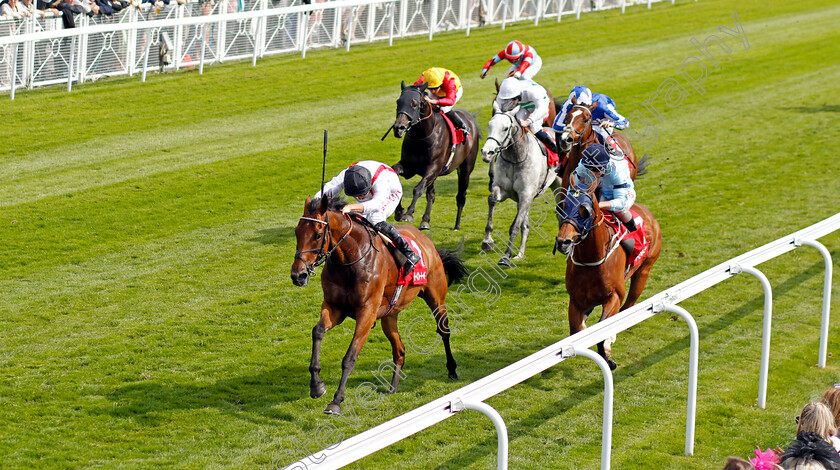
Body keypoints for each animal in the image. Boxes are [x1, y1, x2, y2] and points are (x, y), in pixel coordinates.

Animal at [292, 196, 470, 414]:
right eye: (297, 232)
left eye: (318, 235)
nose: (298, 275)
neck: (351, 260)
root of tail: (427, 241)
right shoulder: (334, 307)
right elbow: (317, 331)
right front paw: (316, 385)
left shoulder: (366, 313)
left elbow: (349, 357)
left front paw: (336, 402)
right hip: (389, 315)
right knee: (399, 350)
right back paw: (393, 387)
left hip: (436, 297)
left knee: (443, 330)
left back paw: (452, 369)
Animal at [388, 83, 476, 233]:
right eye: (398, 102)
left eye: (415, 104)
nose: (398, 128)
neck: (422, 136)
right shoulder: (410, 167)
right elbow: (395, 172)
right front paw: (399, 211)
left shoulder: (433, 168)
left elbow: (418, 189)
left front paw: (408, 213)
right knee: (431, 194)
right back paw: (425, 221)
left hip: (465, 170)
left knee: (461, 196)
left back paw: (457, 225)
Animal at [480, 102, 564, 264]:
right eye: (489, 125)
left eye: (505, 128)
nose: (486, 153)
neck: (516, 157)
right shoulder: (505, 190)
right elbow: (492, 200)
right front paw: (487, 240)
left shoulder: (526, 194)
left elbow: (515, 227)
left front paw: (506, 256)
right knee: (526, 224)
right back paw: (520, 253)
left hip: (560, 186)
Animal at [556, 186, 660, 368]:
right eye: (562, 206)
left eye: (584, 211)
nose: (563, 242)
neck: (591, 260)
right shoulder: (576, 300)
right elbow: (576, 331)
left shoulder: (614, 296)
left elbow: (601, 329)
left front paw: (607, 357)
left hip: (644, 270)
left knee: (628, 305)